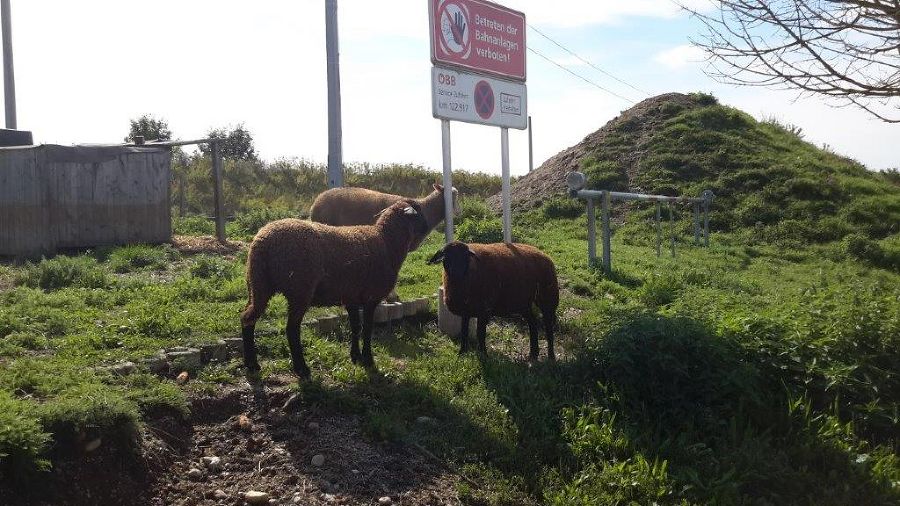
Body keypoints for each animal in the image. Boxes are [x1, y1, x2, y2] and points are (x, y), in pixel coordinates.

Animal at [239, 200, 428, 378]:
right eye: (418, 213)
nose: (427, 228)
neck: (387, 242)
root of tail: (263, 242)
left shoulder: (351, 297)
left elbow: (355, 327)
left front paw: (356, 357)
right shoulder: (371, 297)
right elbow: (367, 328)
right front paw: (368, 360)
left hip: (258, 284)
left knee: (247, 318)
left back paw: (252, 364)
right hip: (299, 289)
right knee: (291, 329)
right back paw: (302, 369)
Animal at [428, 241, 560, 360]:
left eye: (466, 256)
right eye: (446, 256)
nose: (457, 273)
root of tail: (543, 254)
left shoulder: (484, 310)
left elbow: (480, 333)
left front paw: (483, 355)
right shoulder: (466, 311)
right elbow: (464, 332)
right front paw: (462, 353)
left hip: (548, 298)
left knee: (548, 327)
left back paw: (551, 356)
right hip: (523, 302)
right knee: (533, 323)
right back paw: (533, 354)